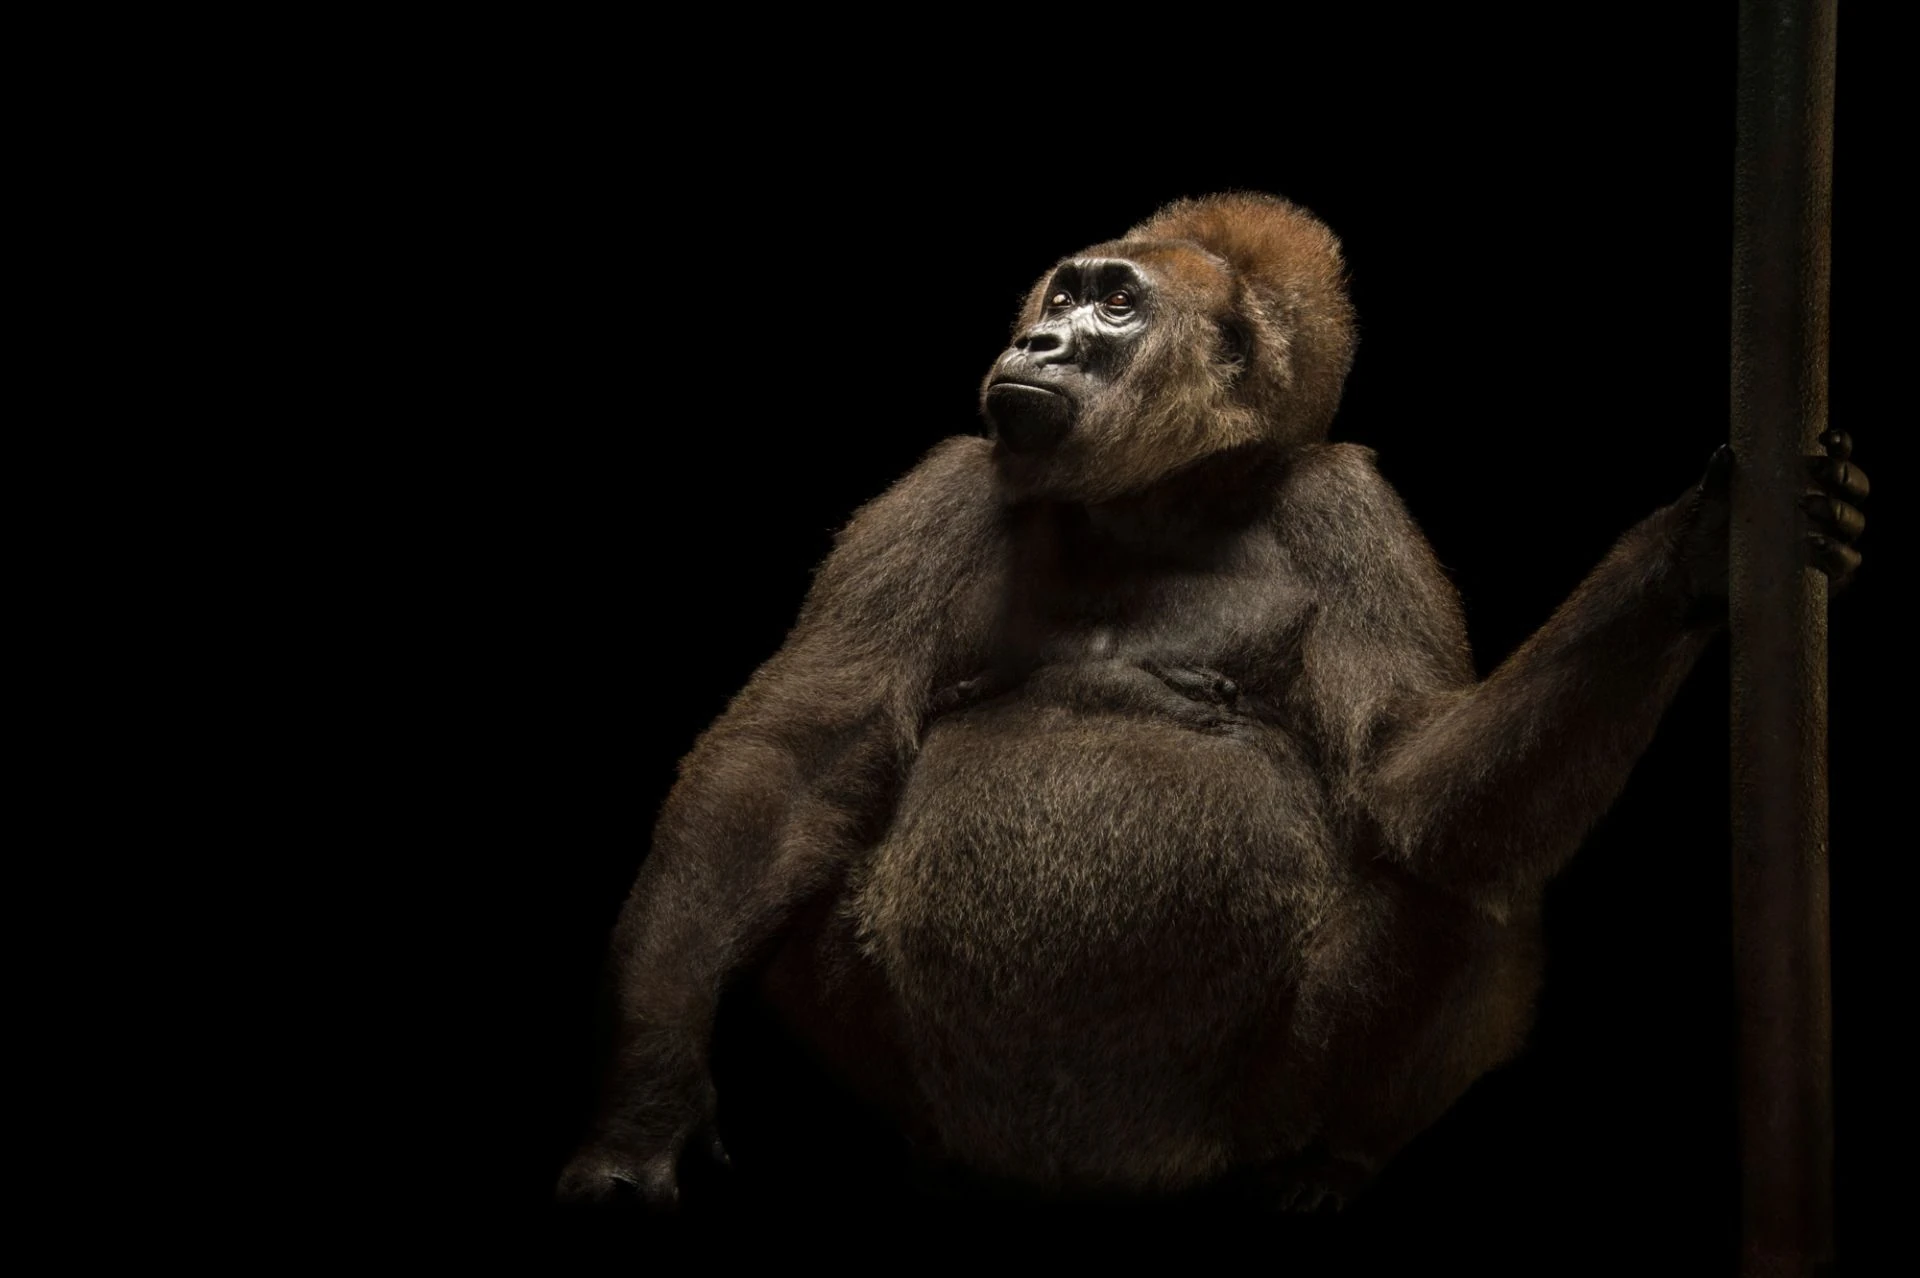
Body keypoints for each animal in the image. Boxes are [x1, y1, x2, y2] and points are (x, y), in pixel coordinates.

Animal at [554, 192, 1870, 1211]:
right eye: (1065, 294)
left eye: (1116, 308)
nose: (1043, 339)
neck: (1163, 497)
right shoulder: (943, 484)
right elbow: (790, 765)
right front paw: (646, 1095)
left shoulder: (1348, 505)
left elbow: (1411, 781)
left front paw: (1690, 560)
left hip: (1251, 1122)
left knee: (1447, 880)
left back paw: (1329, 1163)